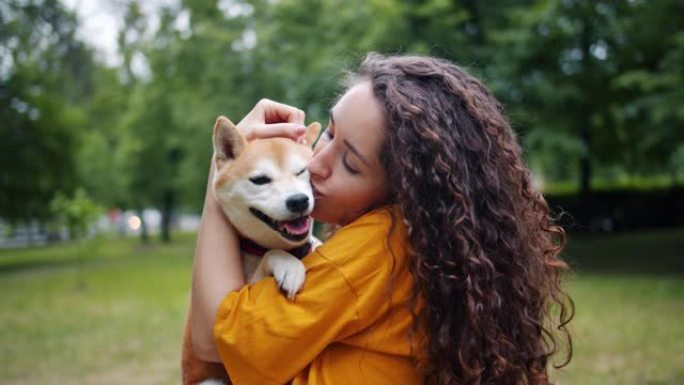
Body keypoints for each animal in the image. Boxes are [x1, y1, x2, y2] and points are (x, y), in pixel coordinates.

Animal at [180, 116, 322, 384]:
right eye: (260, 180)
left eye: (302, 171)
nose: (298, 200)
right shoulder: (241, 292)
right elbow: (272, 254)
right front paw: (288, 266)